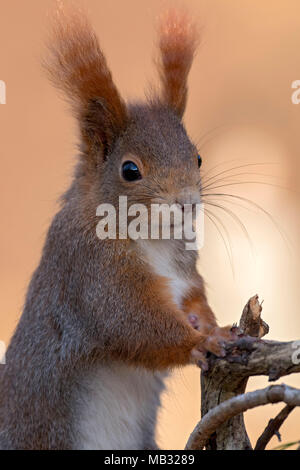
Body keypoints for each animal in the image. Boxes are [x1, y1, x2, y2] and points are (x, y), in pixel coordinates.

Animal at [0, 5, 236, 450]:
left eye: (196, 158)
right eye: (130, 170)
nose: (188, 202)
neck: (153, 238)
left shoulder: (184, 269)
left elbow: (193, 297)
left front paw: (210, 323)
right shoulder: (92, 271)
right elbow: (131, 323)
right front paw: (202, 341)